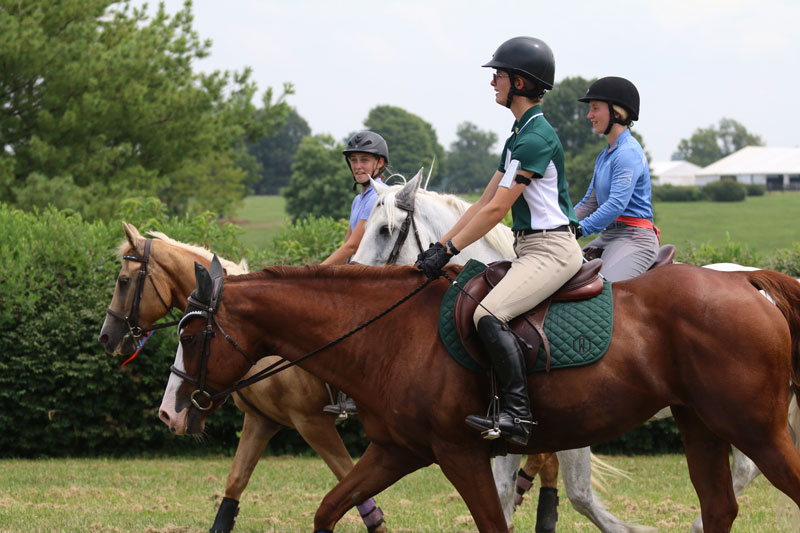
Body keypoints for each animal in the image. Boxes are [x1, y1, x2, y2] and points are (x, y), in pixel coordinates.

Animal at [159, 256, 800, 528]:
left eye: (190, 335)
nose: (169, 413)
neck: (386, 334)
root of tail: (744, 280)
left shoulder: (459, 454)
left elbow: (495, 523)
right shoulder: (395, 452)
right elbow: (330, 508)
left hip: (755, 429)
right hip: (702, 426)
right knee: (718, 507)